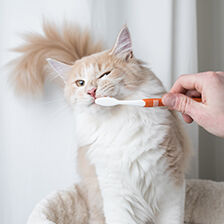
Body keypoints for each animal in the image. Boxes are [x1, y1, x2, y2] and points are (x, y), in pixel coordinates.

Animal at [10, 21, 189, 224]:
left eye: (105, 74)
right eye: (80, 83)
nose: (91, 91)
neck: (118, 123)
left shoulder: (171, 184)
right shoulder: (116, 191)